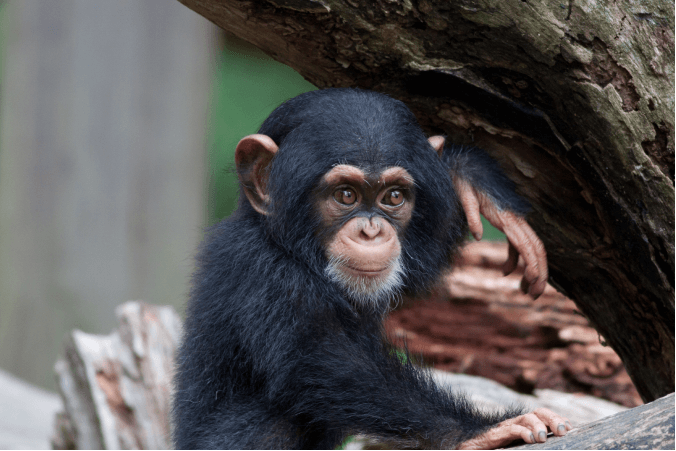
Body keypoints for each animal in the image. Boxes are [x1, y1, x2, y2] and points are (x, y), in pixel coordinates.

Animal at [173, 88, 569, 449]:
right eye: (345, 194)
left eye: (393, 196)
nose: (371, 231)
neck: (292, 250)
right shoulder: (261, 272)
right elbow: (321, 360)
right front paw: (479, 430)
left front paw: (471, 180)